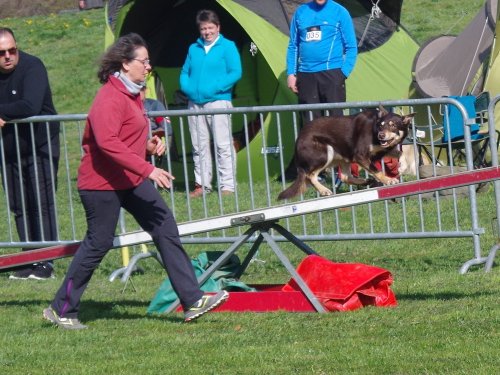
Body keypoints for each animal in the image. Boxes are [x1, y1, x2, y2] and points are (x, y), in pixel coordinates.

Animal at [278, 107, 414, 201]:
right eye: (381, 126)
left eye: (393, 126)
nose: (381, 135)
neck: (373, 130)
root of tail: (299, 137)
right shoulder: (360, 155)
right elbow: (377, 170)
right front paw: (388, 180)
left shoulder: (383, 150)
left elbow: (401, 154)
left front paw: (402, 166)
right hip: (326, 153)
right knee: (310, 175)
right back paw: (324, 190)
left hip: (343, 157)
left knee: (344, 177)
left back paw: (365, 181)